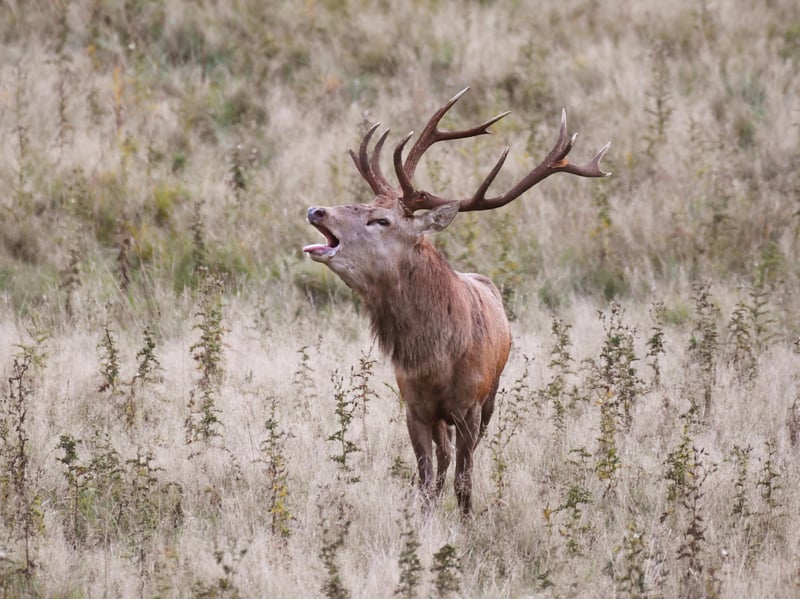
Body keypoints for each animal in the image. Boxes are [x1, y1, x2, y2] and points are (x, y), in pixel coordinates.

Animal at [304, 88, 610, 516]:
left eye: (381, 220)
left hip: (491, 395)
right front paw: (424, 517)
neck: (437, 360)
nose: (316, 210)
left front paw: (466, 522)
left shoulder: (469, 406)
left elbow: (465, 480)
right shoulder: (414, 406)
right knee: (443, 457)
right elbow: (425, 475)